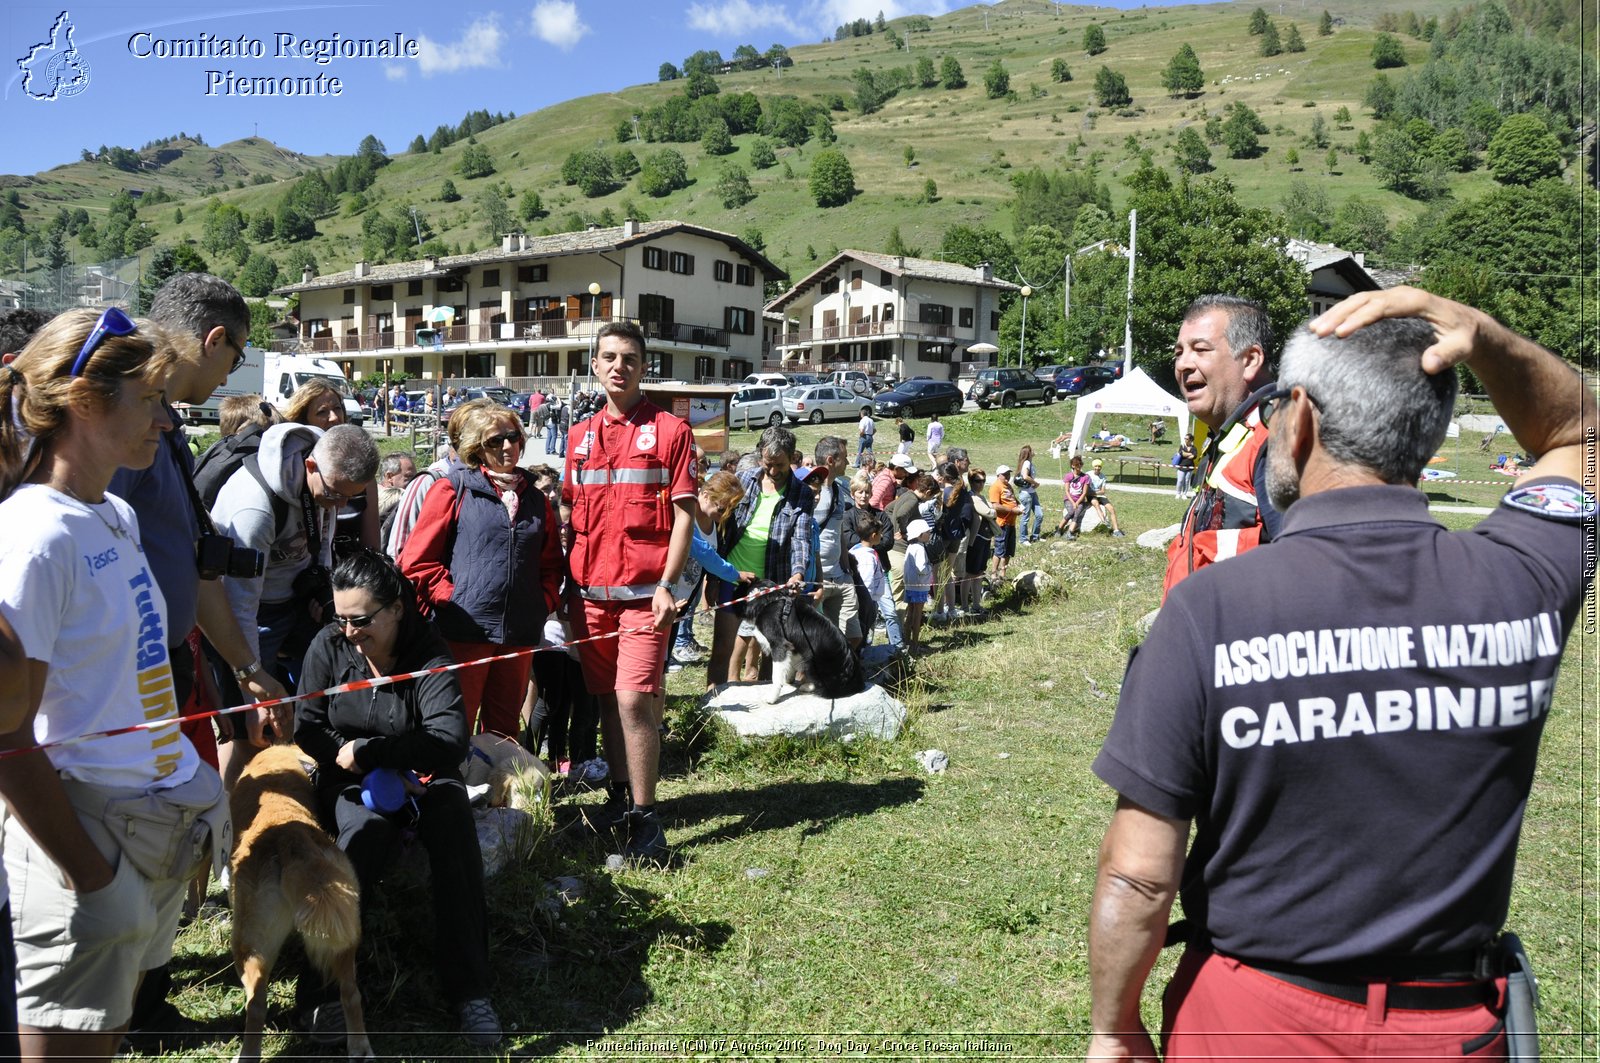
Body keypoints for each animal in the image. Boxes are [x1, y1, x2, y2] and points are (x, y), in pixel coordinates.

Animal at [228, 746, 374, 1063]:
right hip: (345, 935)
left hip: (246, 941)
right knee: (350, 993)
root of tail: (289, 838)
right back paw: (359, 1047)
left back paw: (246, 1053)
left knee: (254, 1003)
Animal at [732, 576, 864, 701]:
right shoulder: (793, 645)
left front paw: (772, 697)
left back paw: (808, 686)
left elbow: (776, 675)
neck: (767, 599)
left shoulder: (779, 644)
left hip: (812, 659)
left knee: (827, 689)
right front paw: (788, 679)